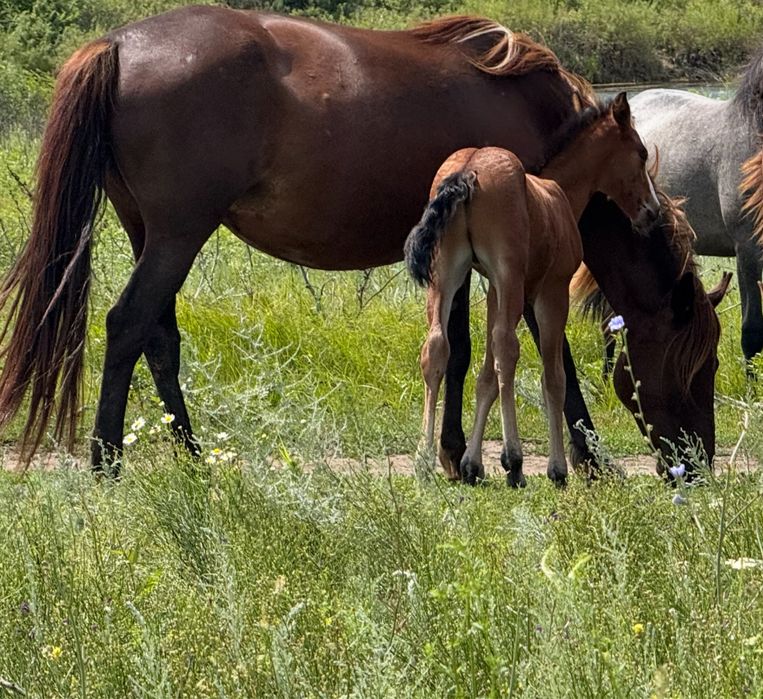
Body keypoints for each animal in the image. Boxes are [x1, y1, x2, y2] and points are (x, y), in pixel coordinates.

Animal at [406, 94, 660, 486]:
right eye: (642, 152)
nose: (652, 212)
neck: (557, 192)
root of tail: (467, 170)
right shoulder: (551, 292)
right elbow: (553, 376)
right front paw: (556, 468)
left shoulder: (494, 291)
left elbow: (485, 377)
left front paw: (472, 463)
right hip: (509, 274)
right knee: (507, 349)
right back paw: (514, 461)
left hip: (446, 274)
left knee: (436, 347)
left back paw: (423, 463)